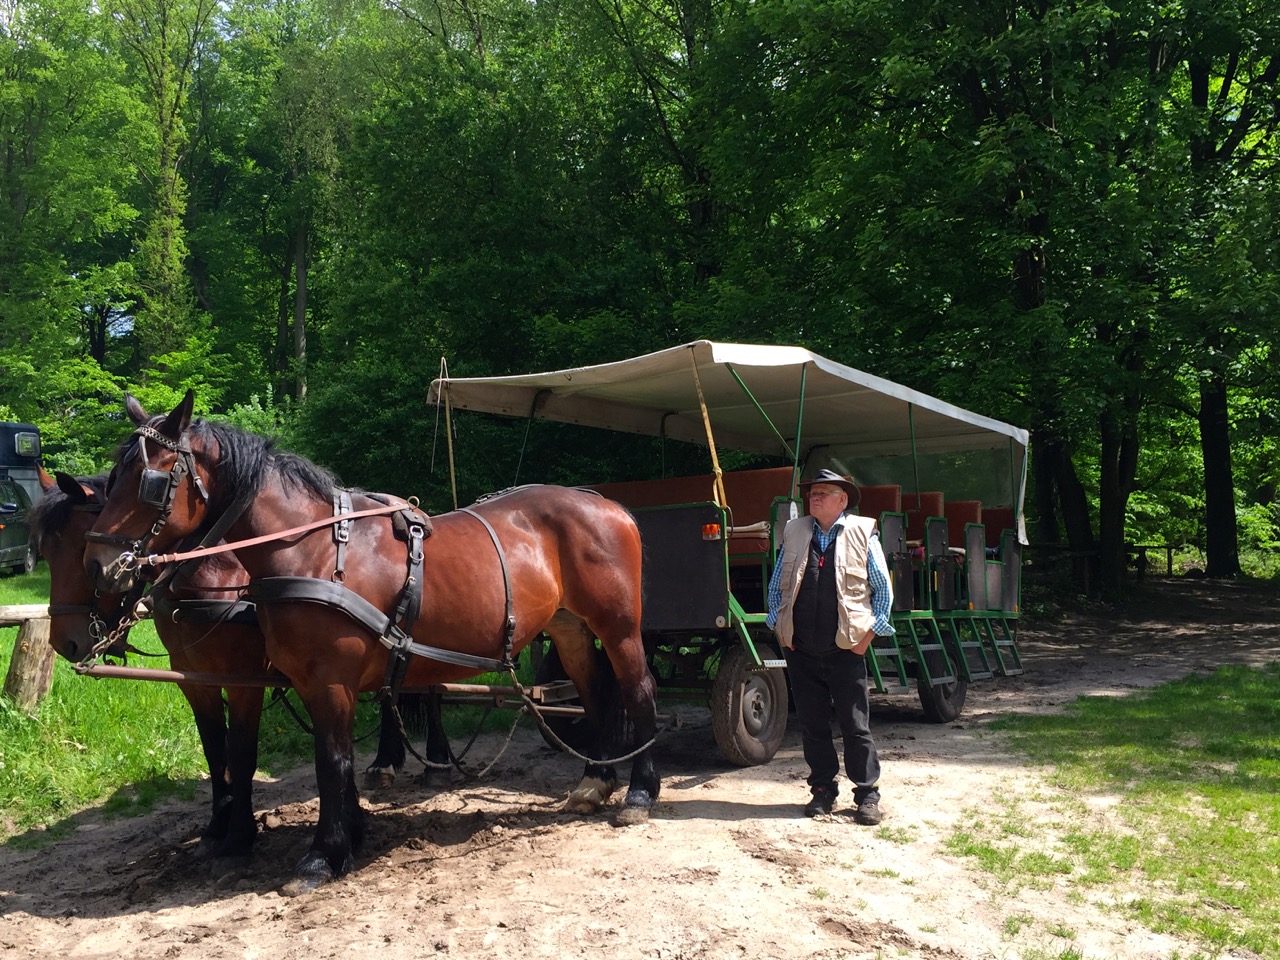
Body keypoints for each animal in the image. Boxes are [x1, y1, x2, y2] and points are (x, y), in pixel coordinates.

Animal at [36, 465, 445, 865]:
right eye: (46, 552)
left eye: (81, 551)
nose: (66, 642)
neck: (215, 582)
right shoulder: (196, 680)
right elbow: (216, 752)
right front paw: (217, 827)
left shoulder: (244, 680)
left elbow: (242, 752)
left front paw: (240, 835)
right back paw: (386, 762)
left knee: (431, 692)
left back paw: (433, 760)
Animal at [83, 389, 660, 896]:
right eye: (111, 478)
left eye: (150, 481)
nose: (99, 567)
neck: (313, 549)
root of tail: (608, 504)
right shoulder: (295, 680)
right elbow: (311, 760)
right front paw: (348, 836)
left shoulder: (326, 681)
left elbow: (330, 762)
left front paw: (322, 856)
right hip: (569, 628)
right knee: (597, 694)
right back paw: (595, 781)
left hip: (618, 627)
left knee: (638, 690)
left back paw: (640, 791)